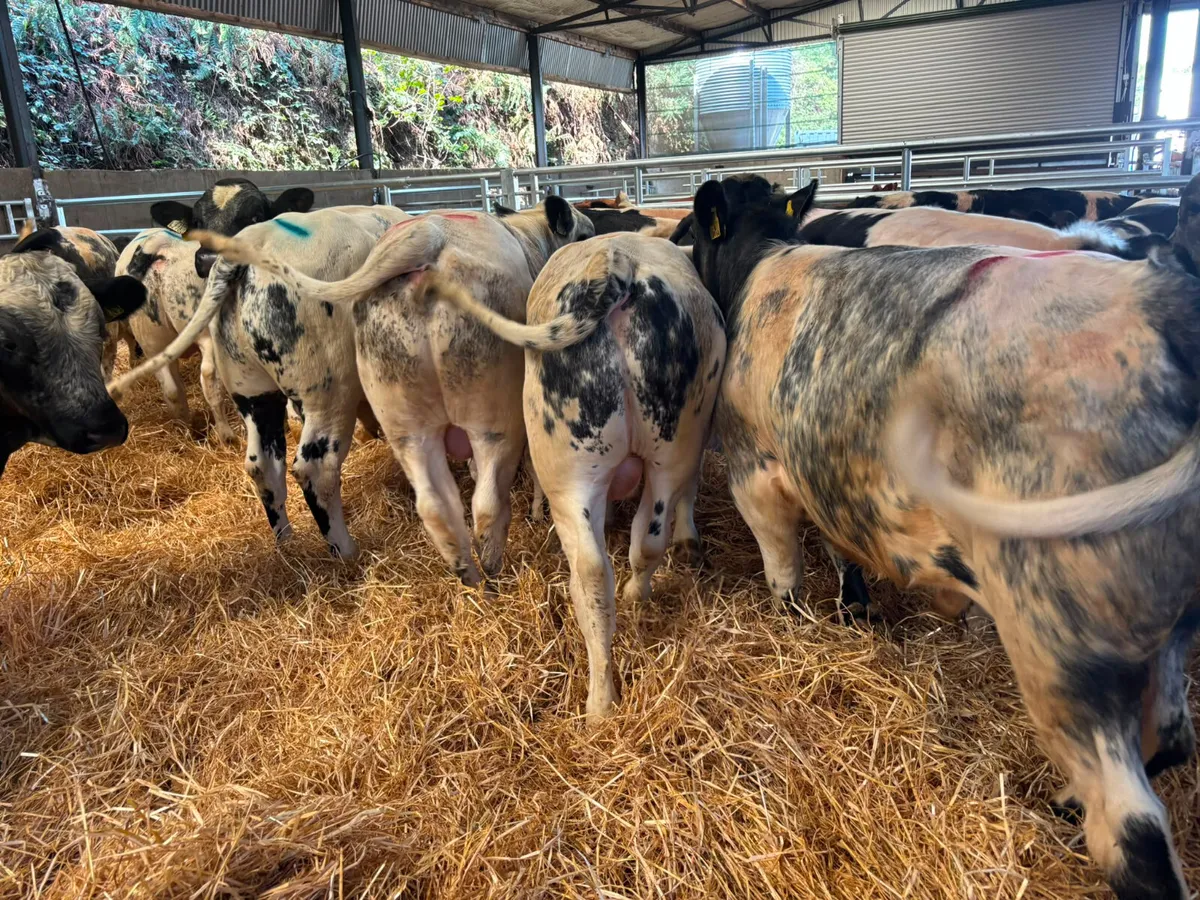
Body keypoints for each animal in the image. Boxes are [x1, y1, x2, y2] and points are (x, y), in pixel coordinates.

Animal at [115, 228, 237, 442]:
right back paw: (225, 435)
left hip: (152, 342)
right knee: (209, 378)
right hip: (204, 329)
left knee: (172, 391)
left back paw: (185, 432)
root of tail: (160, 246)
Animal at [690, 170, 1200, 900]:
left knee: (1136, 835)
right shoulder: (829, 472)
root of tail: (1161, 301)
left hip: (1059, 638)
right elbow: (843, 553)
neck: (763, 263)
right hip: (1165, 625)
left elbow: (783, 566)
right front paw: (854, 610)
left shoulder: (754, 468)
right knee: (1172, 738)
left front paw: (791, 621)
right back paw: (1068, 801)